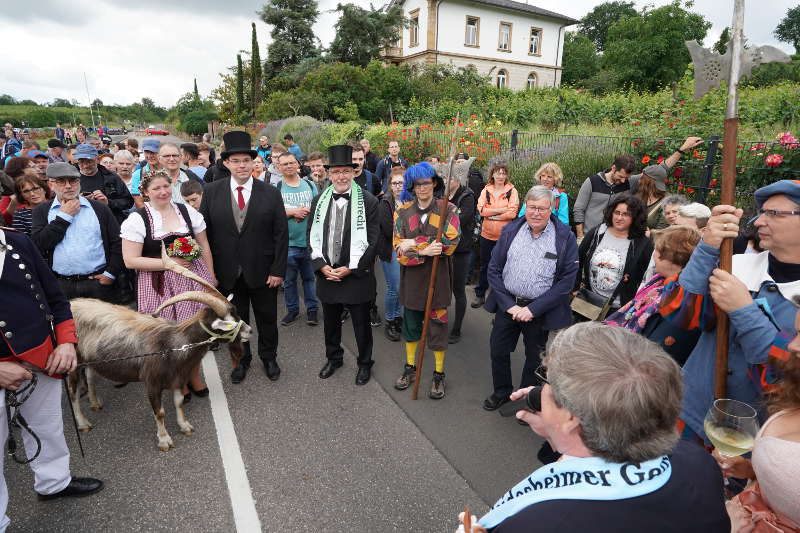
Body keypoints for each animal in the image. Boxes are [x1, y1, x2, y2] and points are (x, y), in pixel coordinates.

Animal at [67, 247, 252, 450]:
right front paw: (164, 440)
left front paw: (184, 426)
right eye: (229, 323)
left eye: (236, 313)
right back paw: (83, 423)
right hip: (73, 362)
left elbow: (179, 402)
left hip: (91, 358)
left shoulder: (179, 377)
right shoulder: (152, 382)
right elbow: (160, 412)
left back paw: (95, 403)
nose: (250, 331)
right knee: (73, 392)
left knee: (90, 376)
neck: (172, 344)